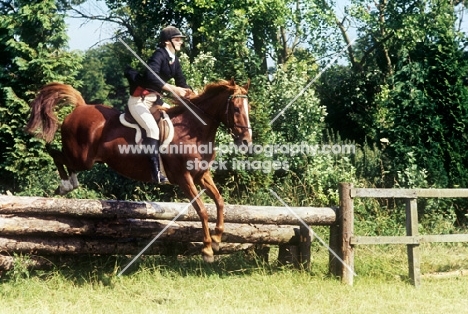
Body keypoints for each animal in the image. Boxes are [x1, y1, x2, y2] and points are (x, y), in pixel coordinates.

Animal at [25, 79, 252, 262]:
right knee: (56, 153)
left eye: (248, 108)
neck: (193, 131)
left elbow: (220, 202)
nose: (246, 142)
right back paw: (66, 184)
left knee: (61, 158)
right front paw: (207, 250)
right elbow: (202, 210)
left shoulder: (201, 175)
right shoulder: (184, 177)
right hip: (81, 158)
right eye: (236, 109)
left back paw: (69, 183)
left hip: (81, 158)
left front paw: (217, 238)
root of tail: (81, 107)